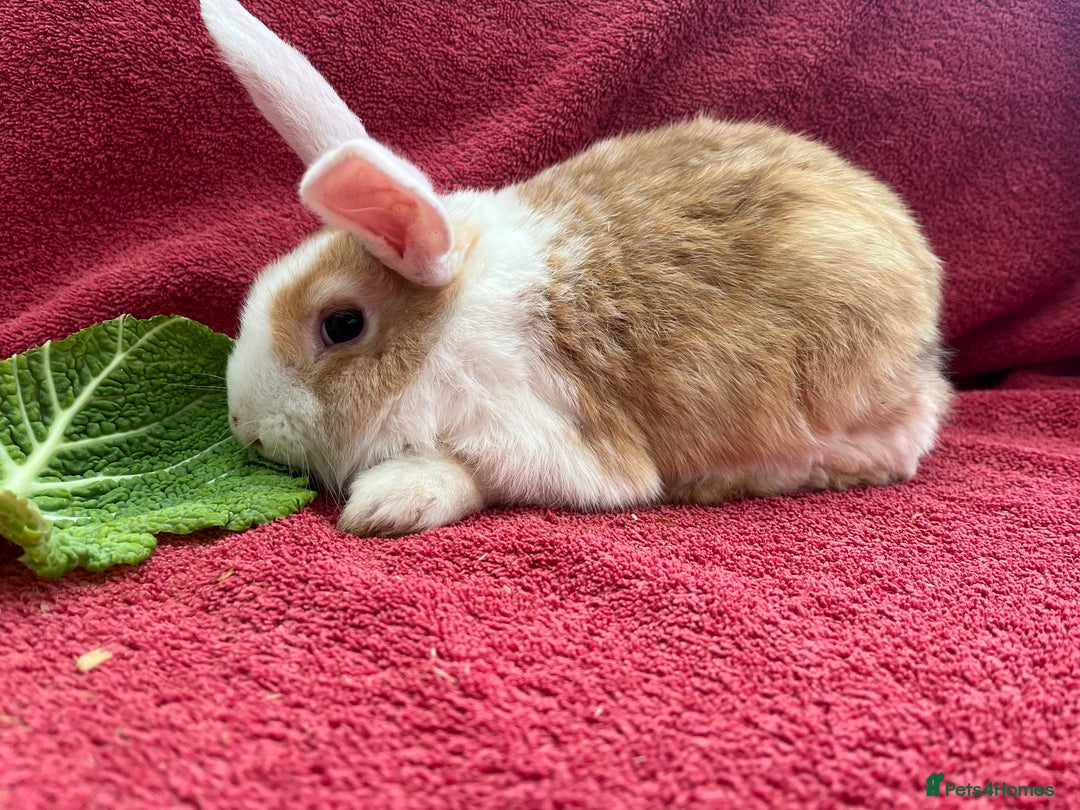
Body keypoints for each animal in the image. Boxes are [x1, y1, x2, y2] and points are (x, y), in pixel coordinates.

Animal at [204, 0, 952, 537]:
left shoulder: (552, 441)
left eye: (341, 324)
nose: (243, 425)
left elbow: (474, 473)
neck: (447, 330)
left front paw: (388, 501)